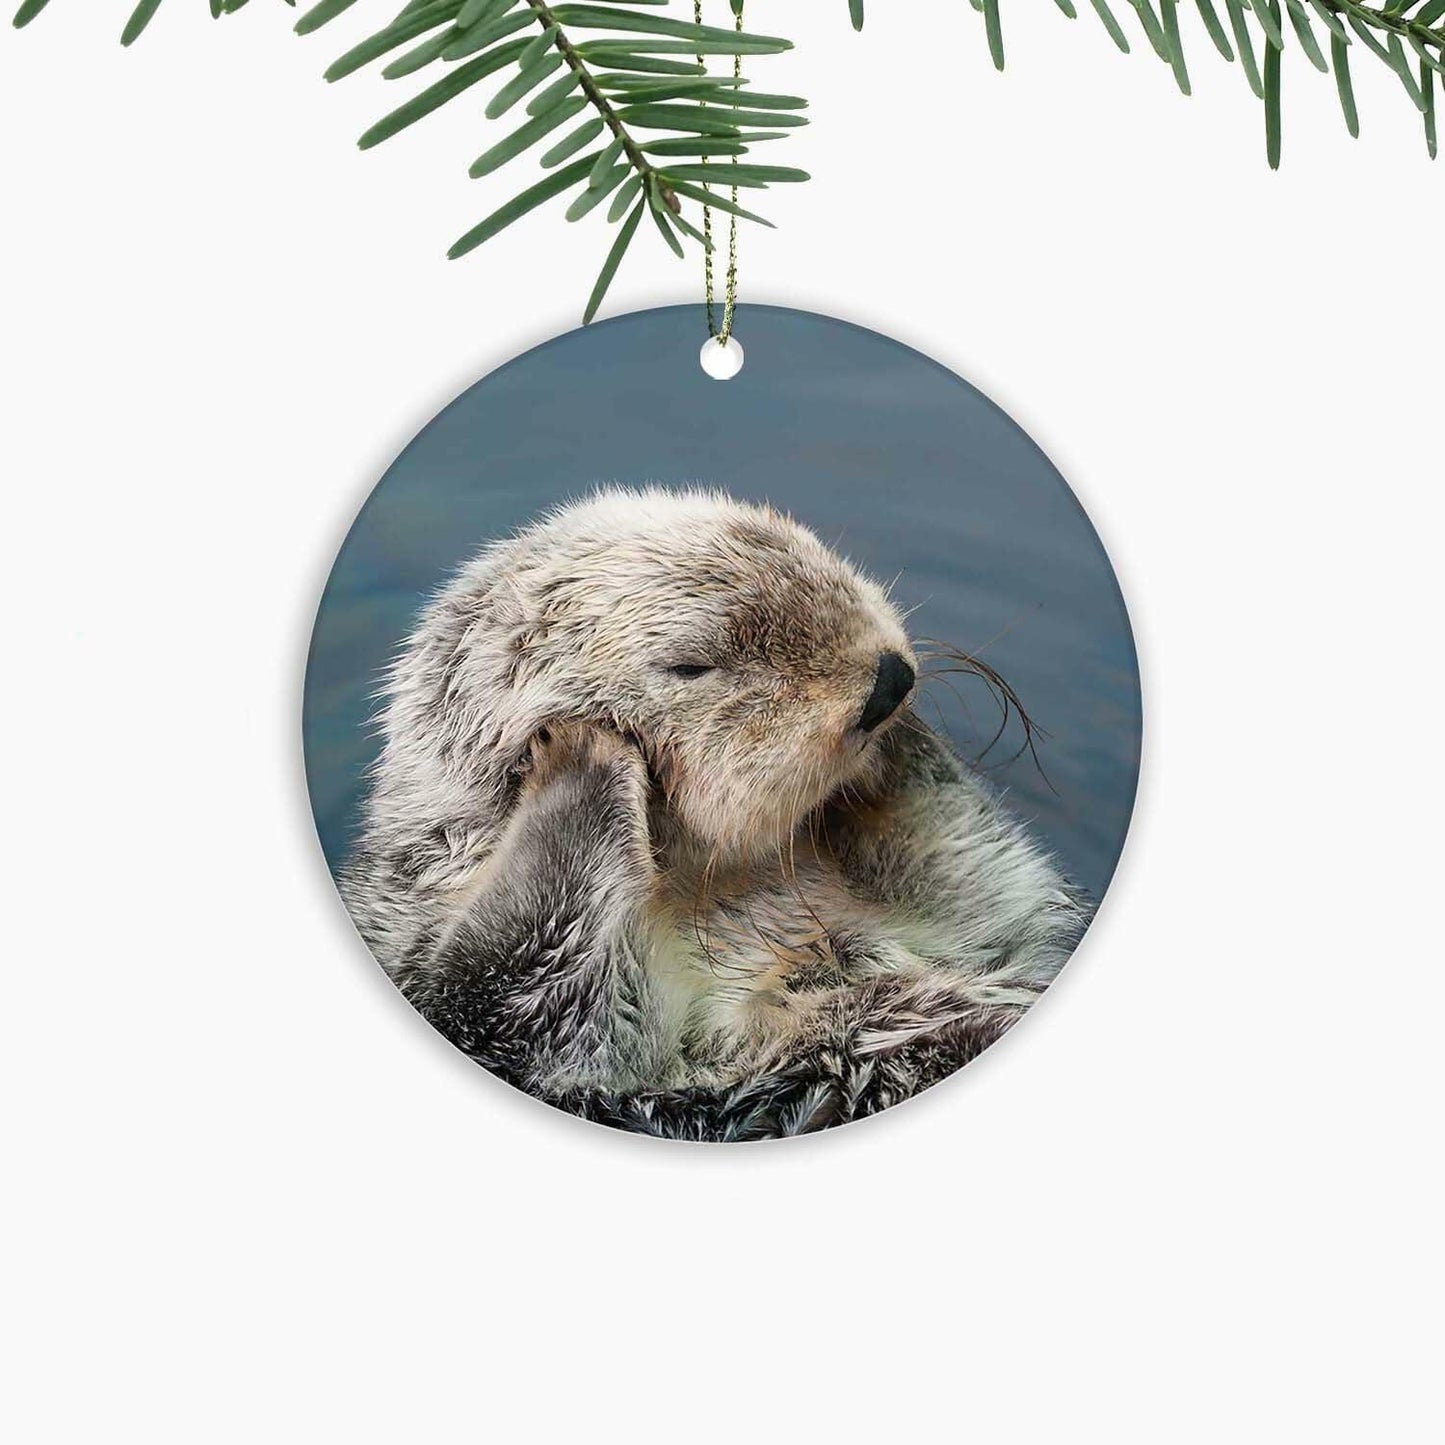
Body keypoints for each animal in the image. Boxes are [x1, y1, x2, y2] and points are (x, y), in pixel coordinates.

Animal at [342, 488, 1088, 1140]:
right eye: (691, 666)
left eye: (816, 555)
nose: (888, 681)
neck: (723, 891)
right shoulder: (507, 1023)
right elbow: (524, 998)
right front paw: (584, 752)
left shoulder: (983, 930)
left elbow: (985, 886)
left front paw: (893, 756)